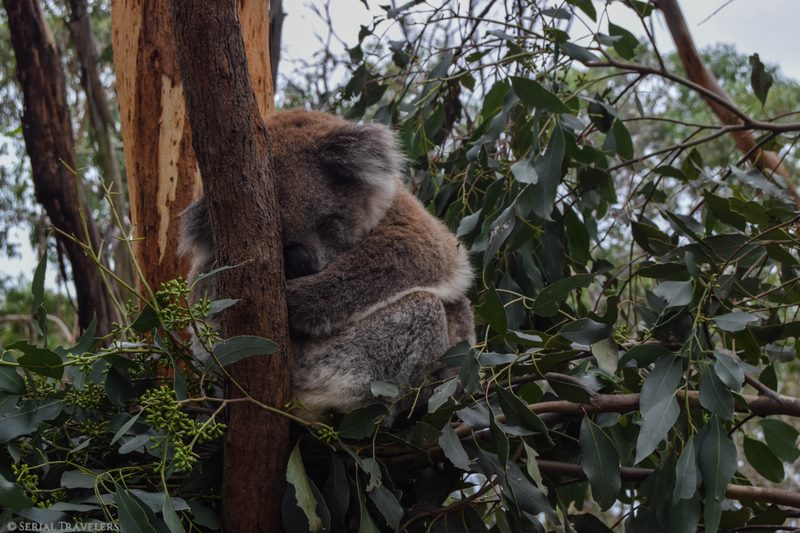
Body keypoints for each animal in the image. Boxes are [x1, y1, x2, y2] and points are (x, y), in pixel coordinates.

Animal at [179, 109, 474, 417]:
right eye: (277, 240)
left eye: (327, 222)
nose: (302, 265)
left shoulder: (402, 215)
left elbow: (416, 250)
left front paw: (294, 297)